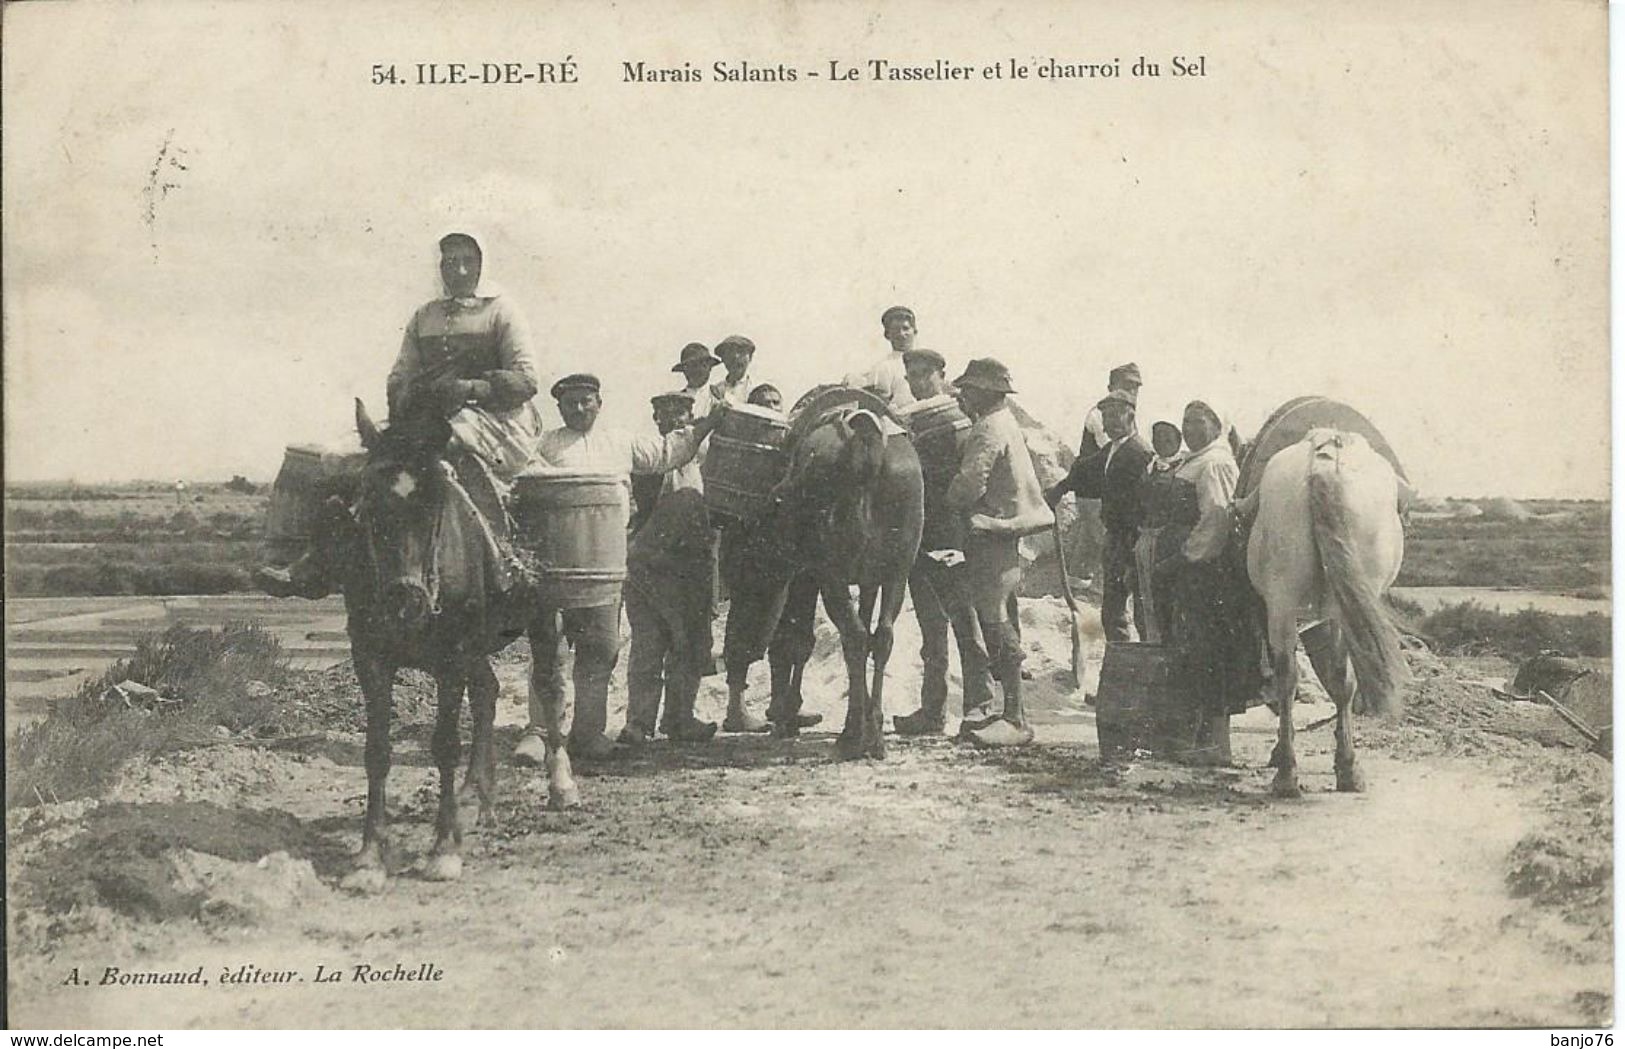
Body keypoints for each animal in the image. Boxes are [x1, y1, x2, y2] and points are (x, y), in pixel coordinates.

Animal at [1241, 431, 1410, 802]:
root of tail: (1325, 459)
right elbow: (1339, 680)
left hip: (1285, 600)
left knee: (1289, 676)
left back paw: (1289, 774)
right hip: (1338, 605)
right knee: (1336, 679)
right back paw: (1343, 768)